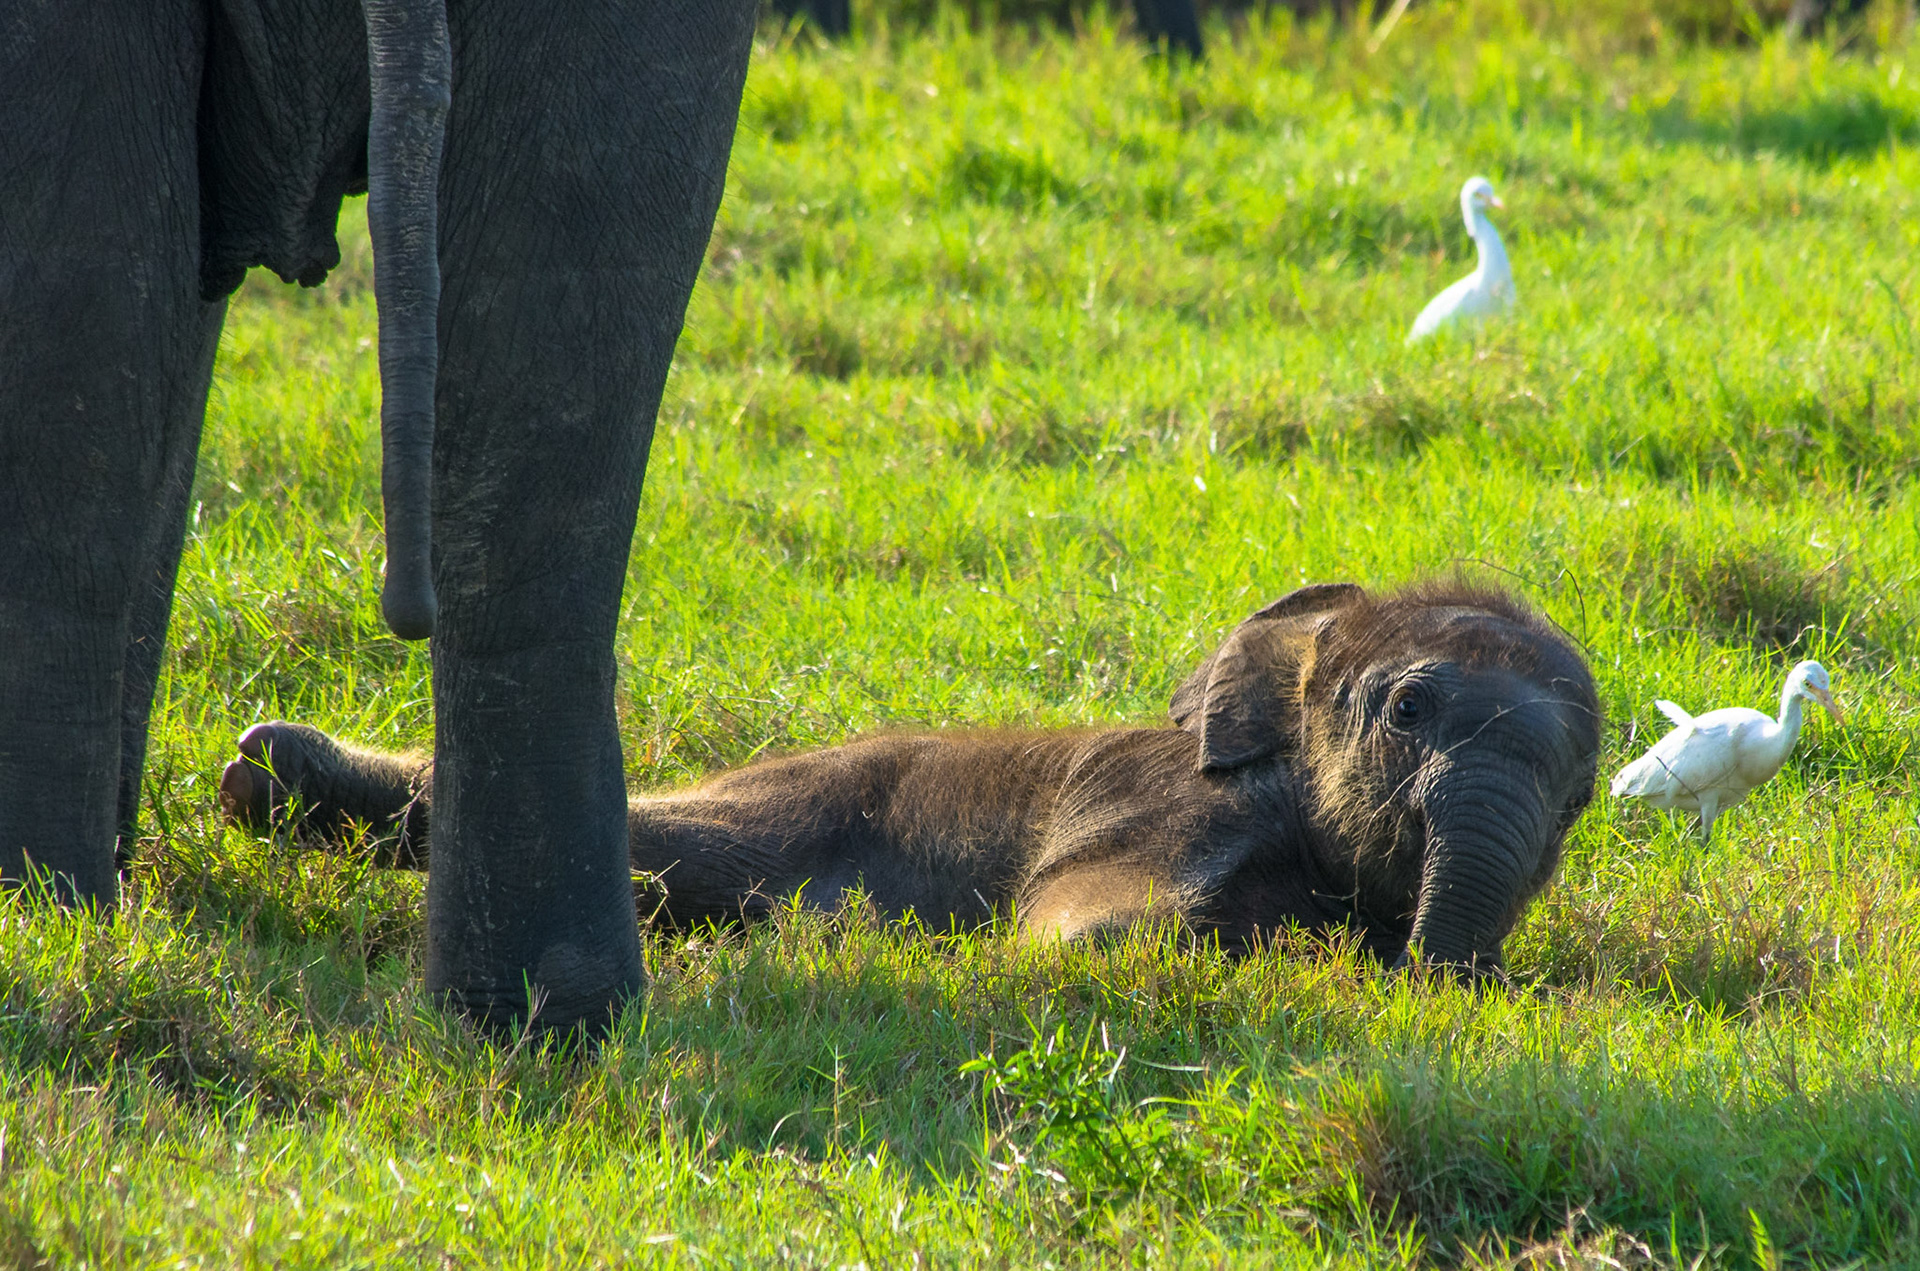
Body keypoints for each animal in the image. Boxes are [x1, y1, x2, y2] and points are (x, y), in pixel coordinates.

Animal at [220, 581, 1603, 975]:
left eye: (1582, 796)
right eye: (1407, 709)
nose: (1435, 971)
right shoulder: (1171, 802)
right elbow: (1078, 933)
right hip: (820, 783)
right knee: (692, 841)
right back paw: (261, 772)